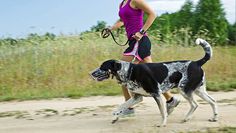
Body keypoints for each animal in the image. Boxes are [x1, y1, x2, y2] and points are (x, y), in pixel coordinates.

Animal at [90, 38, 218, 125]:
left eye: (102, 67)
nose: (90, 74)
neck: (129, 71)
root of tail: (197, 63)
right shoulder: (137, 97)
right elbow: (121, 106)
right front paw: (115, 116)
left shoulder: (156, 94)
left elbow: (162, 112)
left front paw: (162, 124)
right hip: (198, 91)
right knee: (213, 101)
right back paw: (214, 118)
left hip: (184, 90)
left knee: (195, 104)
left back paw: (186, 118)